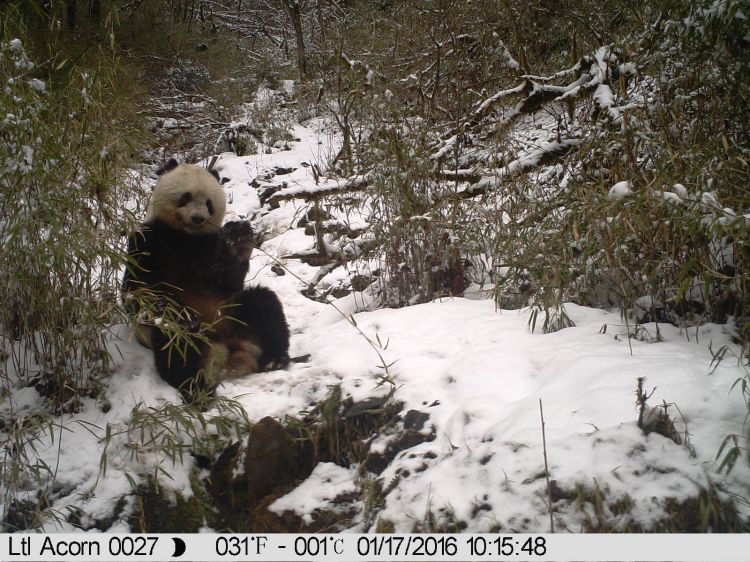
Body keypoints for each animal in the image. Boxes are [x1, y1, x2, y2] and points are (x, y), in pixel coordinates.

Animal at [122, 158, 290, 394]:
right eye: (186, 197)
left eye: (209, 203)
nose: (198, 218)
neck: (184, 236)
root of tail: (227, 348)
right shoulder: (147, 241)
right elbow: (137, 291)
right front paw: (176, 310)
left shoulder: (208, 243)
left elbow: (228, 280)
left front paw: (238, 236)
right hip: (177, 333)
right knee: (176, 341)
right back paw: (197, 389)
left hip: (233, 313)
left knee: (263, 304)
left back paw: (274, 359)